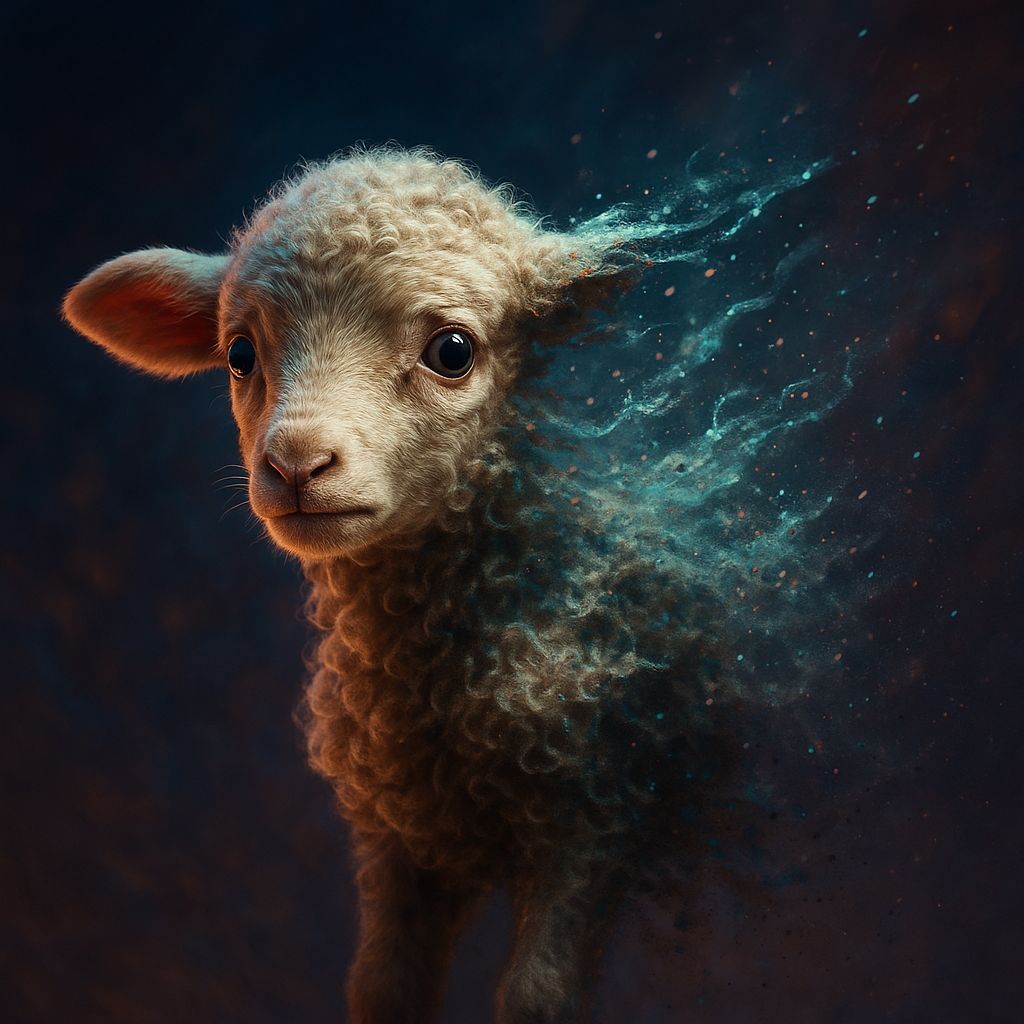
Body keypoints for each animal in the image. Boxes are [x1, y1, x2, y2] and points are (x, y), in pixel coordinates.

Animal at [63, 146, 726, 1024]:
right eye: (239, 355)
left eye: (453, 350)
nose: (296, 464)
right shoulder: (399, 837)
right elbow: (383, 987)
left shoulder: (593, 818)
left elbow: (537, 997)